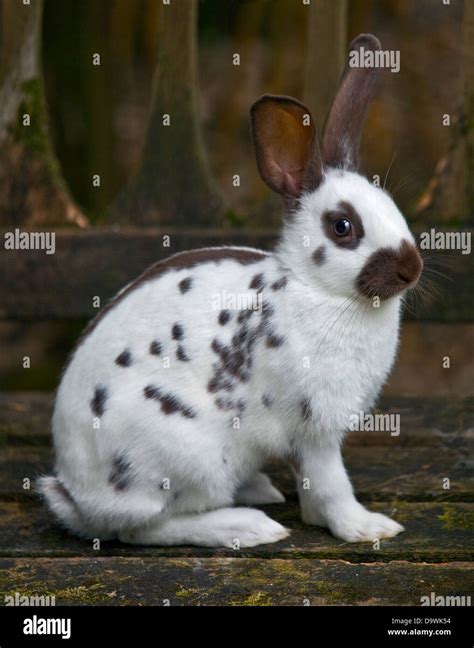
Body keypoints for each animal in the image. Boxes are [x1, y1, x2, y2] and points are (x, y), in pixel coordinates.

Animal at [38, 34, 422, 548]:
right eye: (342, 227)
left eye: (391, 205)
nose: (411, 269)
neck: (317, 290)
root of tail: (79, 498)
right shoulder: (315, 433)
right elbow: (331, 484)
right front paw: (365, 527)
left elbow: (314, 489)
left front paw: (322, 518)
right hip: (187, 454)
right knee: (146, 528)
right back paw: (247, 525)